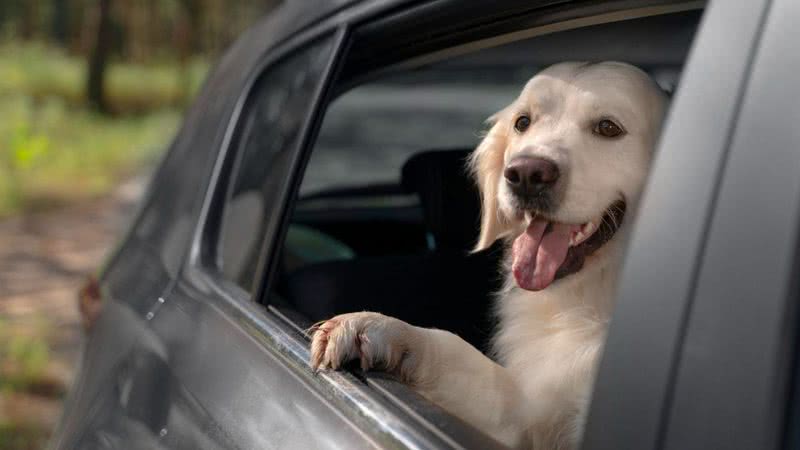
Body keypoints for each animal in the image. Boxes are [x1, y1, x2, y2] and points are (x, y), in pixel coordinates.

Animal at [310, 61, 664, 448]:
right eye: (523, 122)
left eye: (608, 128)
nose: (526, 174)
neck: (588, 297)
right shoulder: (525, 416)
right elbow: (452, 347)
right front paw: (372, 326)